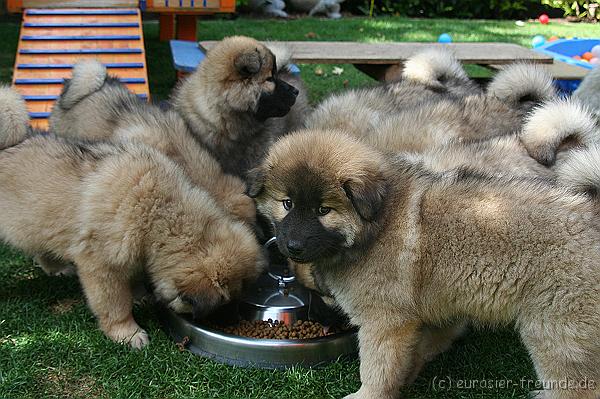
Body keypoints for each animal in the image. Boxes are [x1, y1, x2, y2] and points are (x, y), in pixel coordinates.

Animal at [0, 86, 264, 346]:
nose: (235, 321)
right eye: (225, 302)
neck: (159, 212)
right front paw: (127, 333)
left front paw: (138, 295)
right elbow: (115, 305)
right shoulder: (101, 267)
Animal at [247, 129, 600, 399]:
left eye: (323, 210)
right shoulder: (439, 307)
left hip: (555, 334)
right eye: (287, 204)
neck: (376, 224)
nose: (292, 246)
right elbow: (421, 348)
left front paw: (368, 394)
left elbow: (377, 367)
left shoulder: (385, 322)